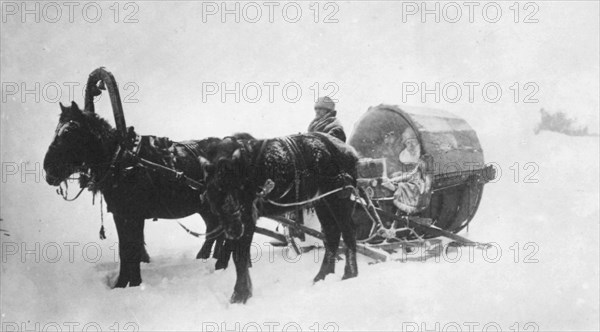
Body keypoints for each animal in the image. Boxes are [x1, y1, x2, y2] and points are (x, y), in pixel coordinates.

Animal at [43, 100, 243, 286]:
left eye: (69, 131)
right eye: (57, 129)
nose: (47, 169)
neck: (122, 160)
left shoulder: (134, 216)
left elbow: (132, 249)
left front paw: (133, 283)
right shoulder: (120, 214)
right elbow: (126, 249)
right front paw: (122, 284)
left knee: (226, 233)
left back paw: (220, 265)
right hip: (206, 207)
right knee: (215, 229)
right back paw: (206, 259)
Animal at [202, 133, 360, 304]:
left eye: (238, 187)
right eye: (213, 191)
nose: (235, 230)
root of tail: (348, 150)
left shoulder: (248, 218)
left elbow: (240, 256)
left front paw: (240, 294)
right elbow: (237, 254)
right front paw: (242, 292)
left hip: (338, 199)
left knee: (348, 232)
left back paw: (350, 273)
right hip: (322, 202)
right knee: (332, 234)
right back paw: (323, 276)